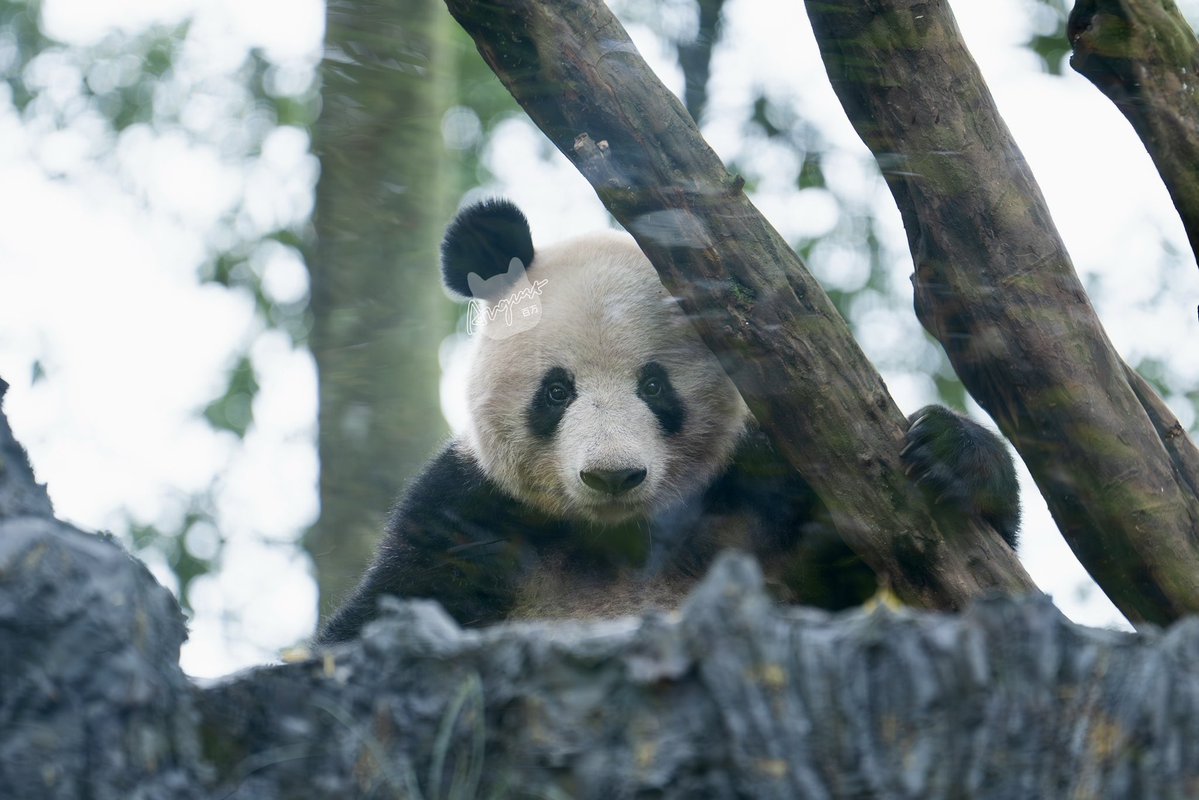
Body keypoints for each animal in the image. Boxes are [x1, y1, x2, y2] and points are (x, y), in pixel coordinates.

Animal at [317, 199, 1020, 644]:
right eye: (556, 392)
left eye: (654, 386)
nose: (612, 477)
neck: (620, 537)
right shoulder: (464, 522)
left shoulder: (767, 495)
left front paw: (952, 455)